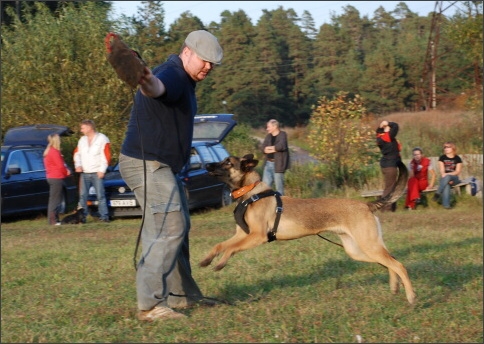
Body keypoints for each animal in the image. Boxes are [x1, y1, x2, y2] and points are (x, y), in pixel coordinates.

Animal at [200, 153, 416, 304]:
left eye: (228, 162)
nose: (206, 165)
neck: (251, 192)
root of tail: (366, 205)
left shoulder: (257, 236)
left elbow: (230, 248)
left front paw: (220, 263)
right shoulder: (242, 234)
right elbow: (220, 245)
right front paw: (207, 260)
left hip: (368, 245)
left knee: (398, 265)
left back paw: (411, 296)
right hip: (357, 250)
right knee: (390, 262)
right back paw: (395, 287)